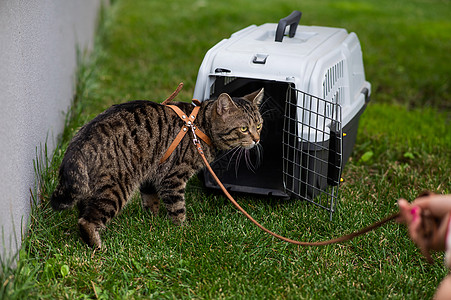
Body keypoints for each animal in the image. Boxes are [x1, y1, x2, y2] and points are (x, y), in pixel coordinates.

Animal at [50, 88, 264, 248]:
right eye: (244, 129)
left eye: (259, 126)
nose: (257, 139)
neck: (199, 127)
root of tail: (79, 142)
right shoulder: (173, 178)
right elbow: (177, 208)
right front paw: (182, 230)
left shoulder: (150, 174)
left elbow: (150, 200)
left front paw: (151, 221)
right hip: (116, 188)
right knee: (87, 221)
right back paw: (97, 246)